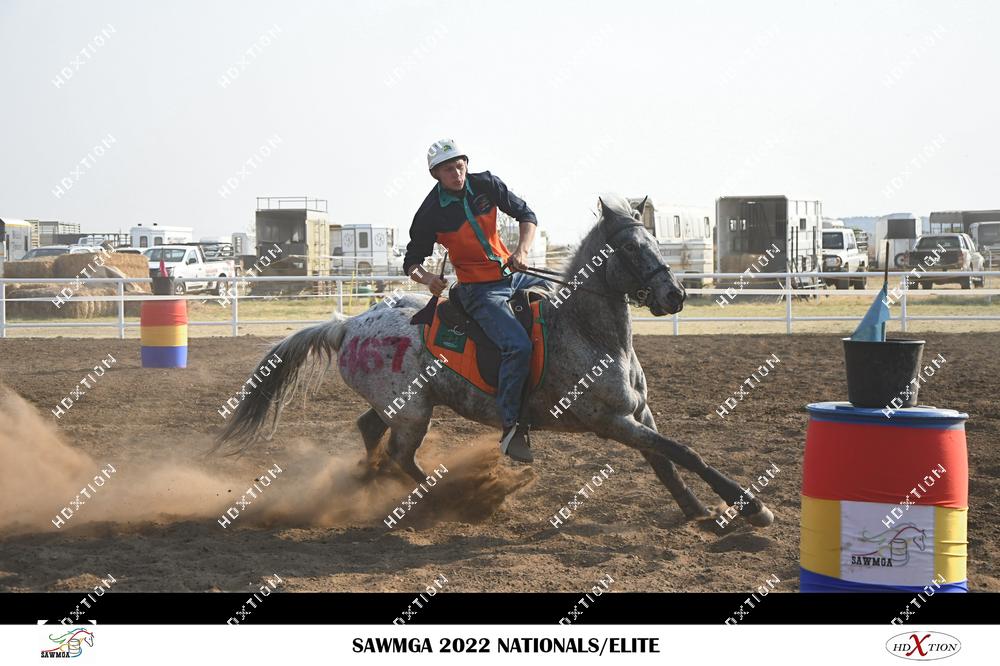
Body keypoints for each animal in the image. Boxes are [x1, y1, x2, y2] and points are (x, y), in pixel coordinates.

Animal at [219, 195, 776, 528]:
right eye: (628, 247)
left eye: (657, 241)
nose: (674, 294)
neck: (589, 332)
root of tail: (348, 325)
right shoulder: (612, 421)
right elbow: (683, 452)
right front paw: (752, 508)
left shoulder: (640, 414)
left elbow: (667, 461)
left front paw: (701, 510)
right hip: (413, 413)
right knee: (400, 455)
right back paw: (449, 499)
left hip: (400, 408)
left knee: (369, 431)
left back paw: (368, 480)